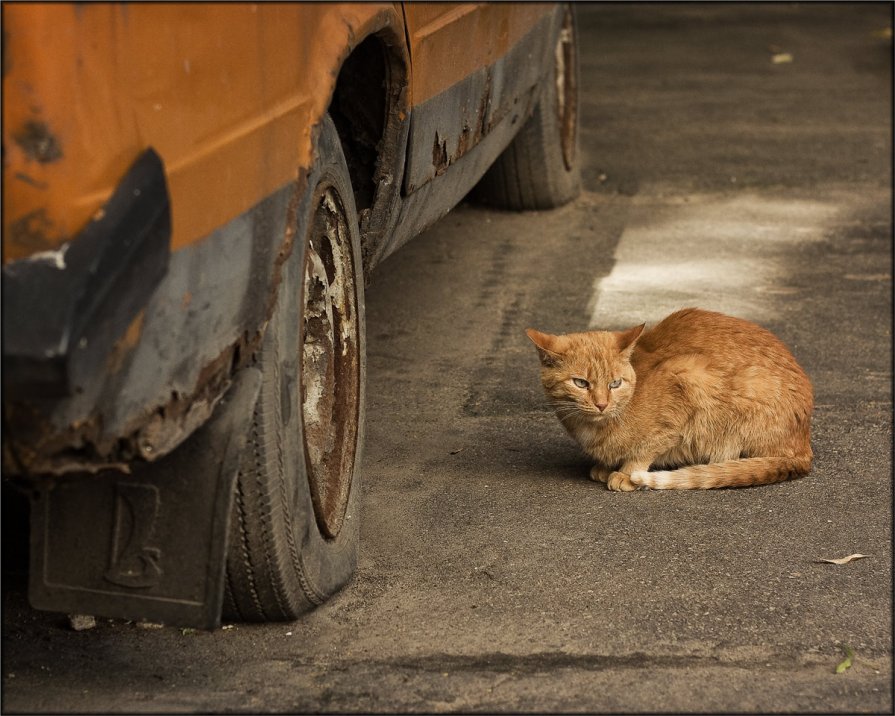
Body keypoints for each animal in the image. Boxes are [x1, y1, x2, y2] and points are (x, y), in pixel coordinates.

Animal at [528, 308, 816, 492]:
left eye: (615, 384)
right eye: (581, 383)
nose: (601, 404)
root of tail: (803, 445)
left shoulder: (683, 377)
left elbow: (647, 449)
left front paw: (626, 473)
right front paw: (604, 466)